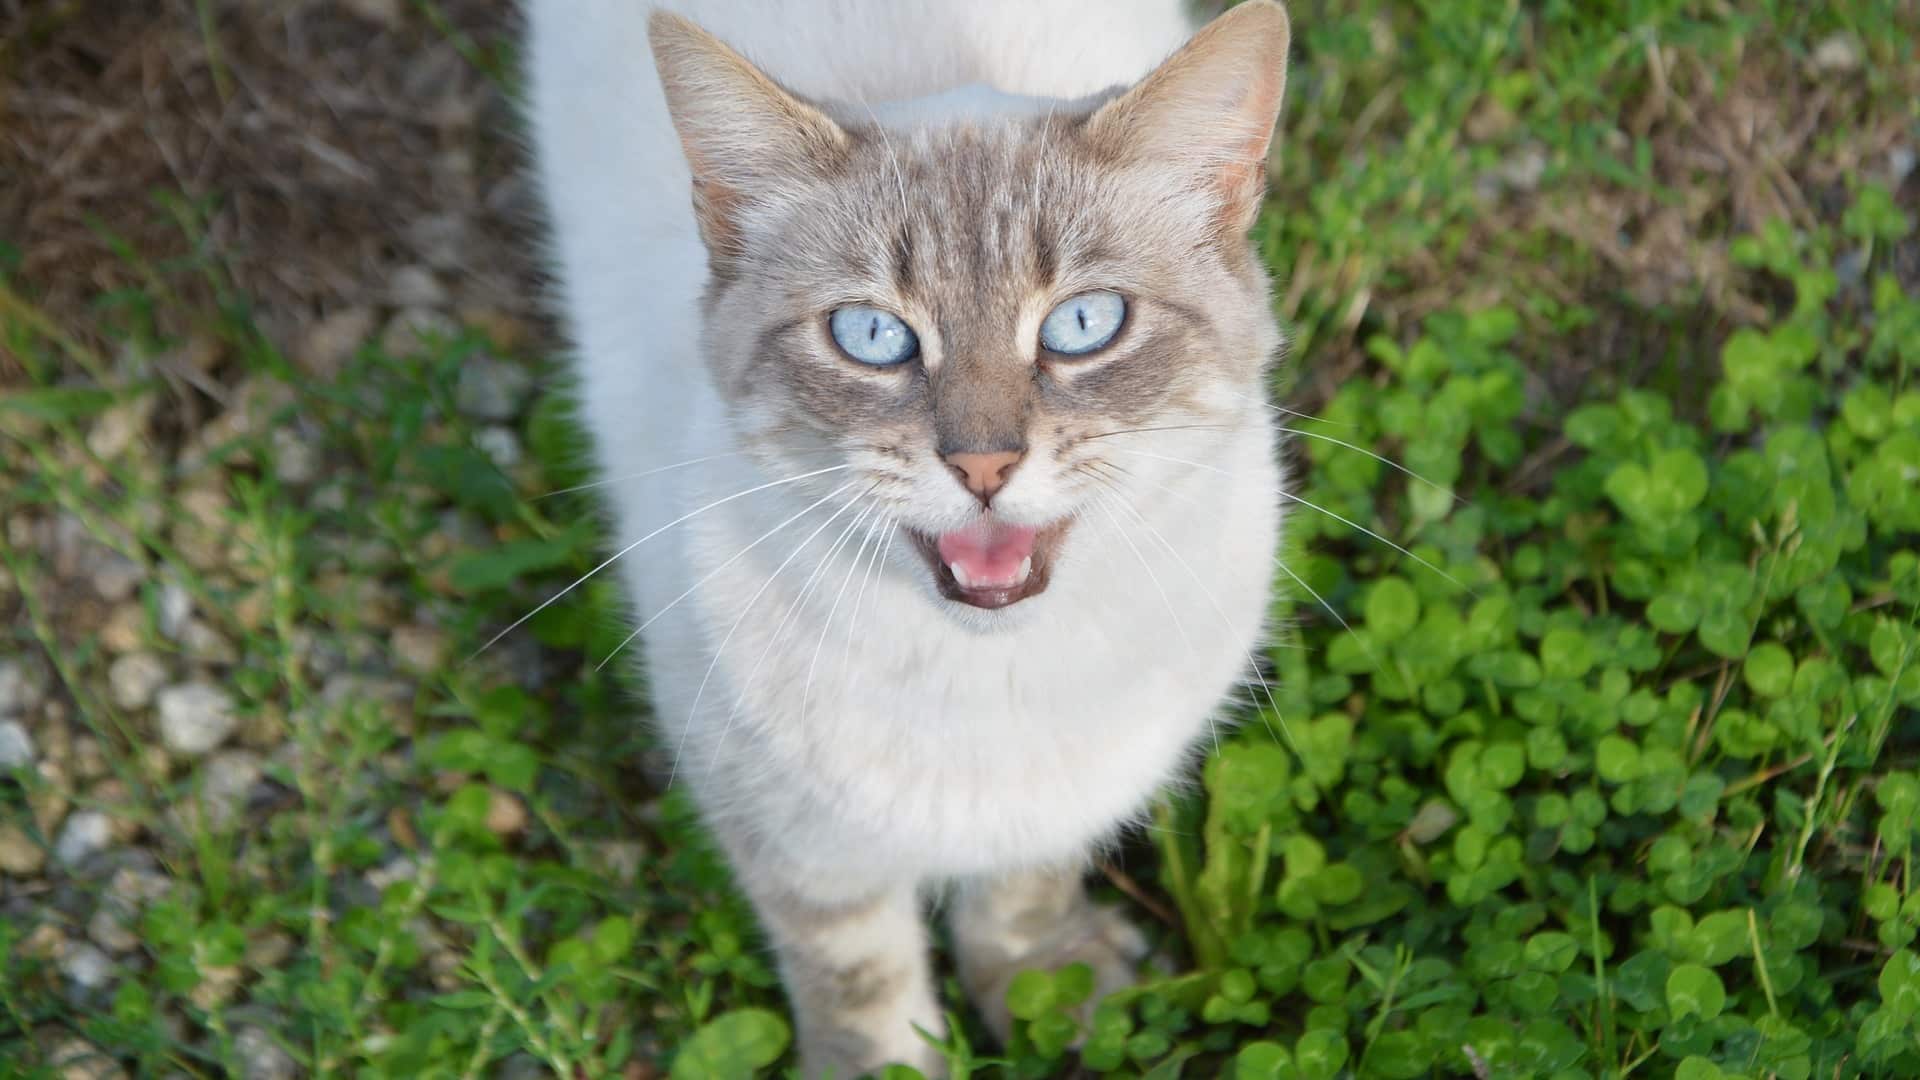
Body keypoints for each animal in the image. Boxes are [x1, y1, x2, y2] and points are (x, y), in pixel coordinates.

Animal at [526, 0, 1290, 1068]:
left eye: (1084, 324)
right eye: (873, 337)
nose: (983, 466)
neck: (987, 677)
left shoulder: (1062, 796)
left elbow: (1021, 892)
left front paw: (1043, 987)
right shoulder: (793, 838)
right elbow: (860, 980)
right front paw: (888, 1063)